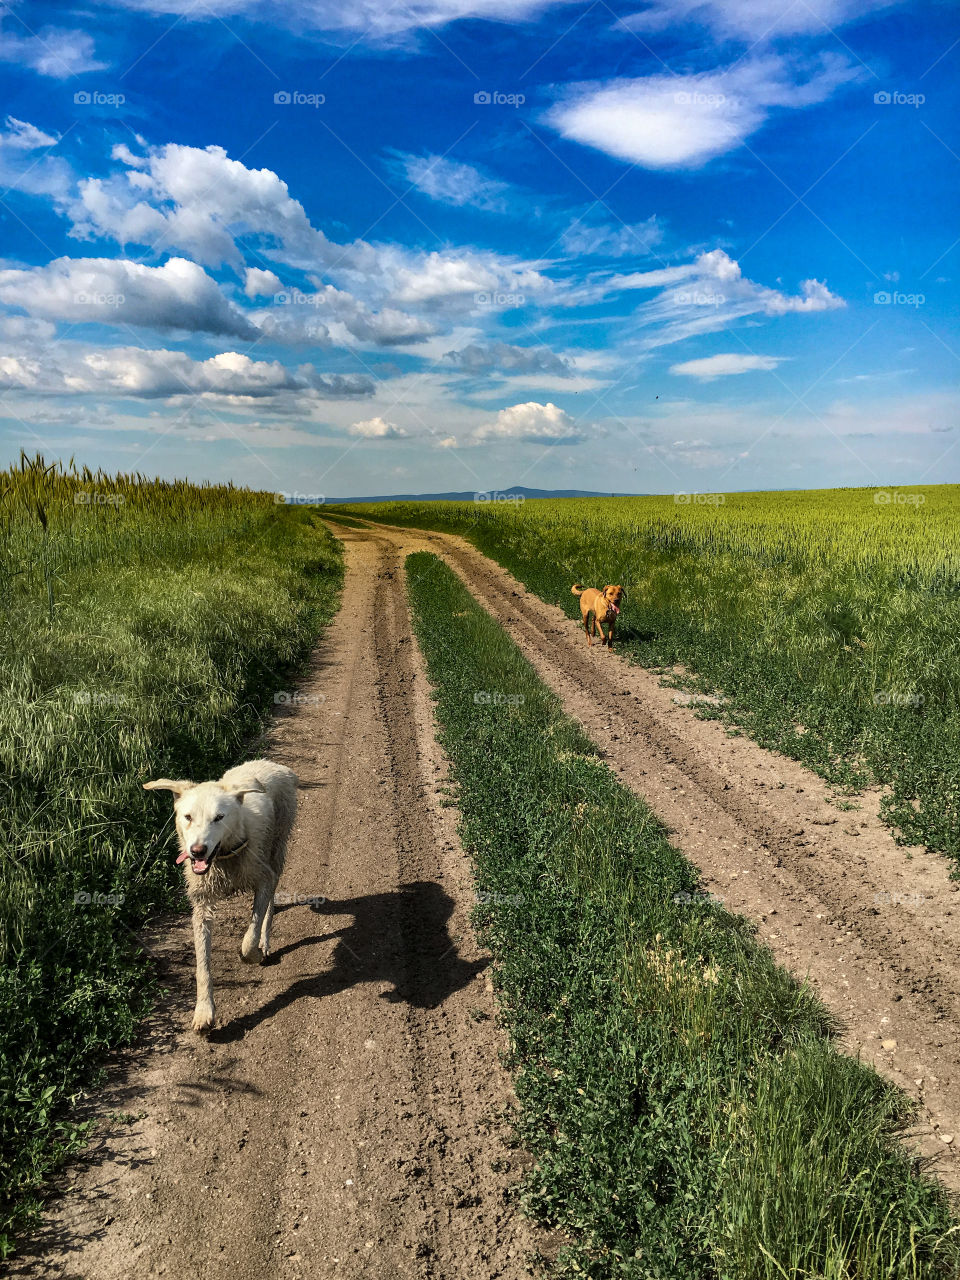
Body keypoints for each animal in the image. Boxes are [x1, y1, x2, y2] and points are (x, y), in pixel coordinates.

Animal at [144, 757, 296, 1029]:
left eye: (219, 817)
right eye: (188, 816)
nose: (197, 851)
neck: (225, 856)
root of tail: (272, 764)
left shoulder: (263, 877)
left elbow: (250, 936)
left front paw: (253, 953)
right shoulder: (201, 903)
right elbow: (202, 966)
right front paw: (204, 1011)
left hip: (278, 846)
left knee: (271, 898)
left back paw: (265, 940)